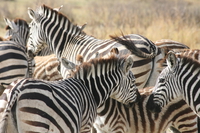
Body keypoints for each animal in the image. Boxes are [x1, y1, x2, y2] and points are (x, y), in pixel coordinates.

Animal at [0, 54, 140, 133]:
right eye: (133, 81)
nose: (137, 100)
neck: (90, 89)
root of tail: (16, 89)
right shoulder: (86, 125)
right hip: (36, 123)